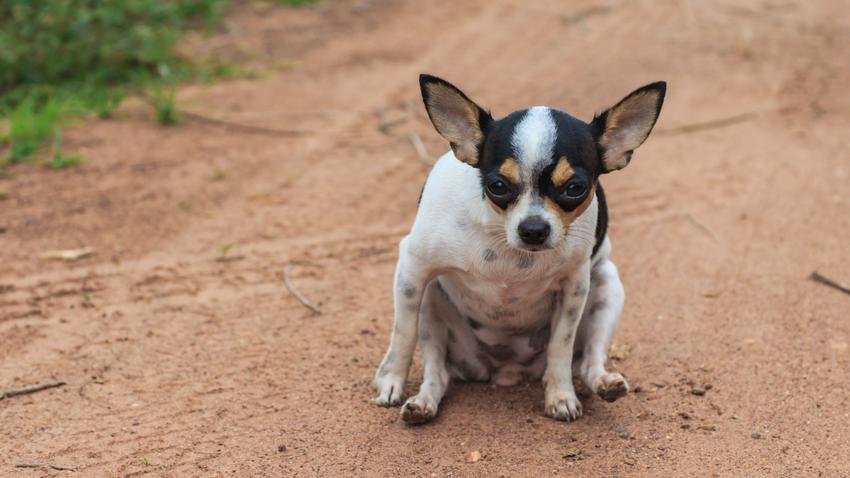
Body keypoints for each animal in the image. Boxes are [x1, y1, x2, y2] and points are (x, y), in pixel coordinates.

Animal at [374, 73, 664, 424]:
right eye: (497, 186)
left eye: (575, 188)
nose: (534, 229)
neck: (508, 249)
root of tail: (504, 370)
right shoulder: (413, 269)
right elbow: (402, 335)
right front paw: (391, 380)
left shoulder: (574, 287)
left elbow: (561, 346)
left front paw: (560, 395)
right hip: (431, 304)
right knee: (437, 373)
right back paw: (422, 403)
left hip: (606, 286)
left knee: (587, 362)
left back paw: (605, 383)